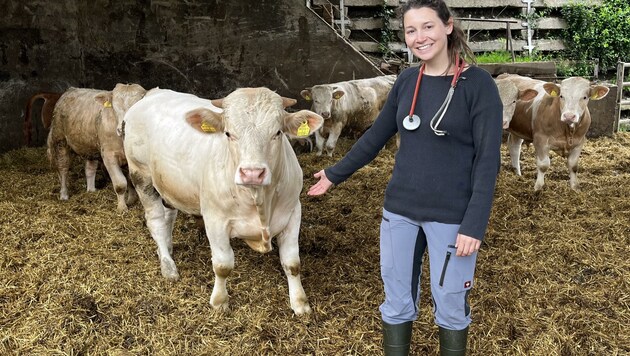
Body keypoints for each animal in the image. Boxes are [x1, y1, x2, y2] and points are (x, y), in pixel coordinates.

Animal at [47, 83, 147, 211]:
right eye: (114, 108)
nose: (123, 128)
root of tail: (70, 90)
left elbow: (131, 180)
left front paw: (131, 200)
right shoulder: (109, 156)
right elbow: (120, 184)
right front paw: (122, 208)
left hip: (90, 147)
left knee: (90, 168)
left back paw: (91, 190)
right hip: (60, 140)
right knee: (63, 168)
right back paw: (64, 195)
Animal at [122, 86, 326, 314]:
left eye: (278, 133)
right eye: (228, 133)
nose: (252, 173)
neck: (259, 200)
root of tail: (153, 93)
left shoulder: (293, 213)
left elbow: (292, 263)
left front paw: (300, 303)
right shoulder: (215, 219)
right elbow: (223, 265)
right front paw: (219, 302)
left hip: (169, 184)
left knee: (169, 215)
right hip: (140, 174)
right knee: (156, 220)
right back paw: (167, 265)